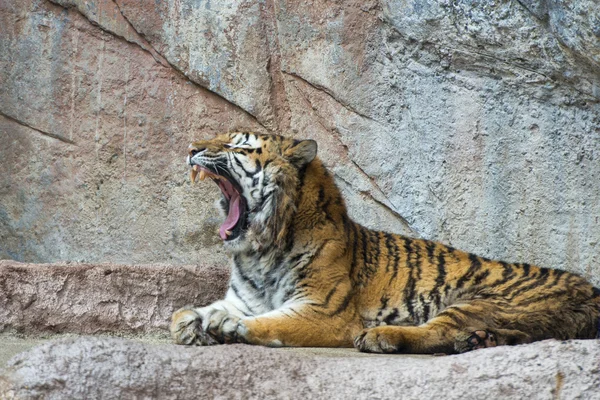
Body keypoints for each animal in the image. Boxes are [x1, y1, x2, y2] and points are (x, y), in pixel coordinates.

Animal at [171, 131, 600, 354]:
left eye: (237, 146)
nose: (190, 148)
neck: (259, 251)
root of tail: (591, 290)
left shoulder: (325, 312)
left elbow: (270, 322)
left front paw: (225, 325)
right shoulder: (244, 297)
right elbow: (194, 310)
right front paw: (189, 322)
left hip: (483, 300)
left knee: (435, 332)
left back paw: (382, 336)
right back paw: (479, 340)